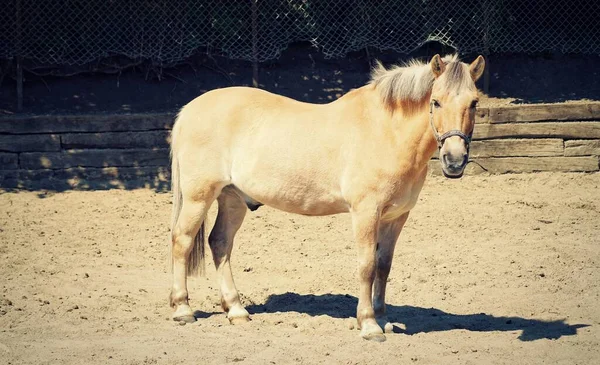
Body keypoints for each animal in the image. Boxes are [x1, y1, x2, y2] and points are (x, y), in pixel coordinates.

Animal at [166, 54, 486, 342]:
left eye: (474, 103)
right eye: (436, 101)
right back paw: (183, 309)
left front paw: (384, 319)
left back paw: (236, 310)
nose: (454, 161)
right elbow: (367, 265)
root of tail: (189, 110)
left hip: (232, 198)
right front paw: (369, 325)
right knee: (182, 241)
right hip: (198, 197)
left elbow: (384, 266)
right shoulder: (366, 213)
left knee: (220, 243)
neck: (385, 131)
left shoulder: (396, 217)